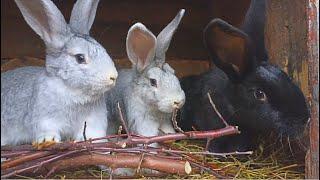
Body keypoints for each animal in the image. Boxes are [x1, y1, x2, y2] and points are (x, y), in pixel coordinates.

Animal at [0, 0, 118, 146]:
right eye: (80, 58)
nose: (113, 76)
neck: (72, 90)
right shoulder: (44, 117)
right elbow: (47, 129)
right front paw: (47, 140)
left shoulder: (93, 120)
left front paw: (94, 140)